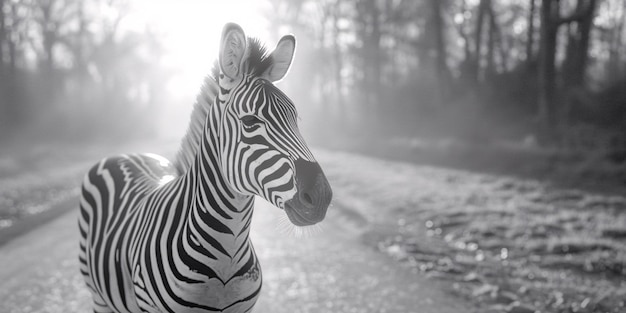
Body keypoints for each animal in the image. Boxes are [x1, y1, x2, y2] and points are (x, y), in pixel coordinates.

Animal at [78, 23, 332, 312]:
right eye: (249, 121)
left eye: (295, 119)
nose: (321, 195)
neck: (228, 253)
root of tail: (124, 154)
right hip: (98, 296)